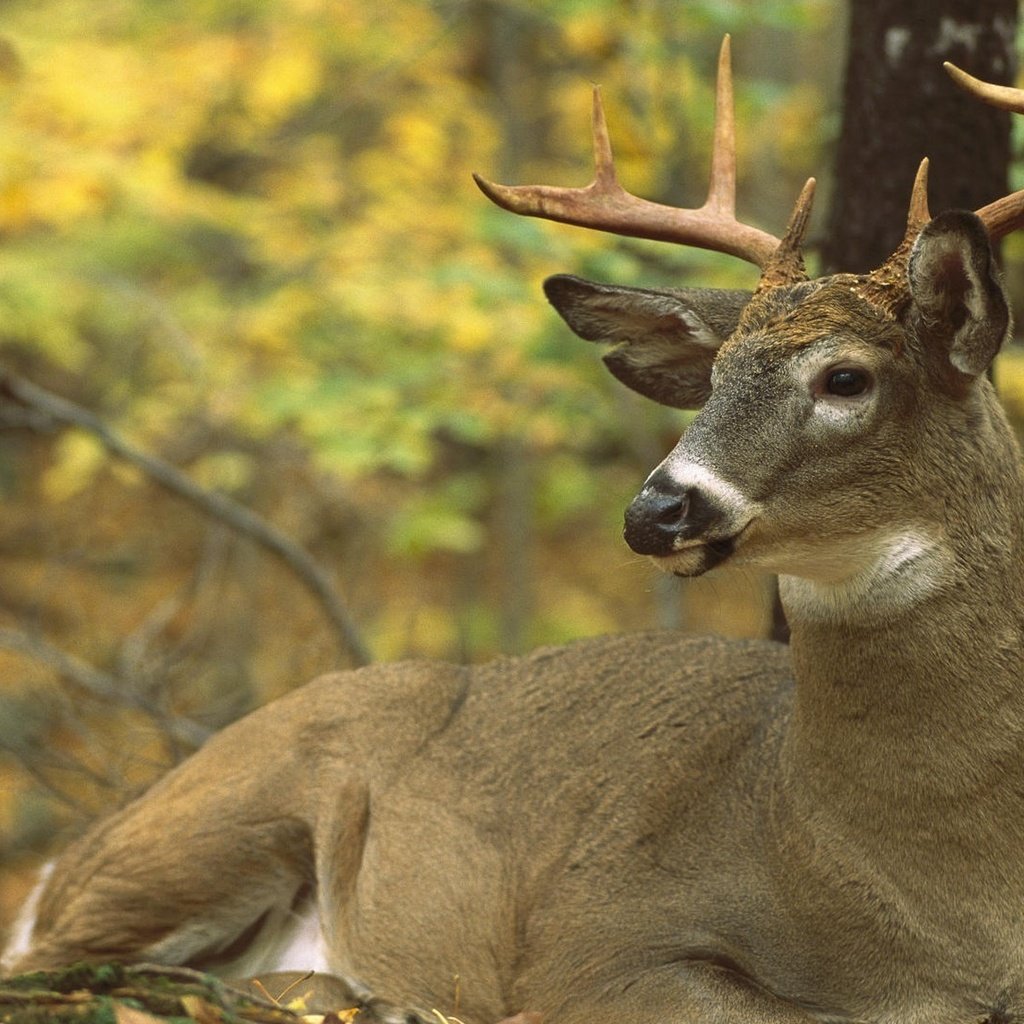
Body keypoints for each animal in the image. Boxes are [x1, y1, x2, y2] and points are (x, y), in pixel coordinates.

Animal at [9, 36, 1024, 1024]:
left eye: (845, 378)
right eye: (715, 376)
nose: (656, 510)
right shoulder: (600, 941)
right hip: (220, 814)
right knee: (66, 967)